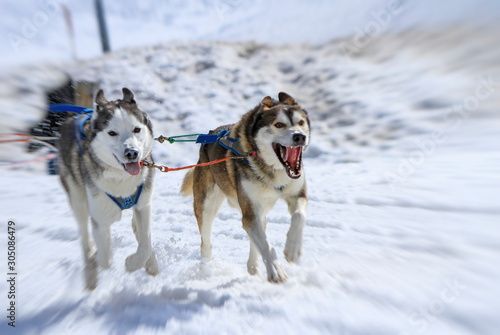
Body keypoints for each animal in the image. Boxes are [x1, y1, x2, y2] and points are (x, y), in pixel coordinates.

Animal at [59, 88, 159, 290]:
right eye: (112, 133)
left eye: (136, 129)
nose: (132, 153)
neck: (122, 179)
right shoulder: (100, 217)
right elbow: (104, 258)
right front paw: (101, 260)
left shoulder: (144, 205)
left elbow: (145, 243)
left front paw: (134, 263)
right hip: (78, 200)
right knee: (85, 238)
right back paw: (90, 272)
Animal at [183, 92, 308, 284]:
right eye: (279, 124)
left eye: (300, 122)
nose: (300, 137)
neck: (272, 170)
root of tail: (208, 136)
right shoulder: (250, 208)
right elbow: (264, 243)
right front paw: (276, 269)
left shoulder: (297, 195)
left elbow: (299, 216)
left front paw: (292, 249)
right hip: (206, 205)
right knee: (206, 242)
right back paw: (205, 270)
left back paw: (253, 265)